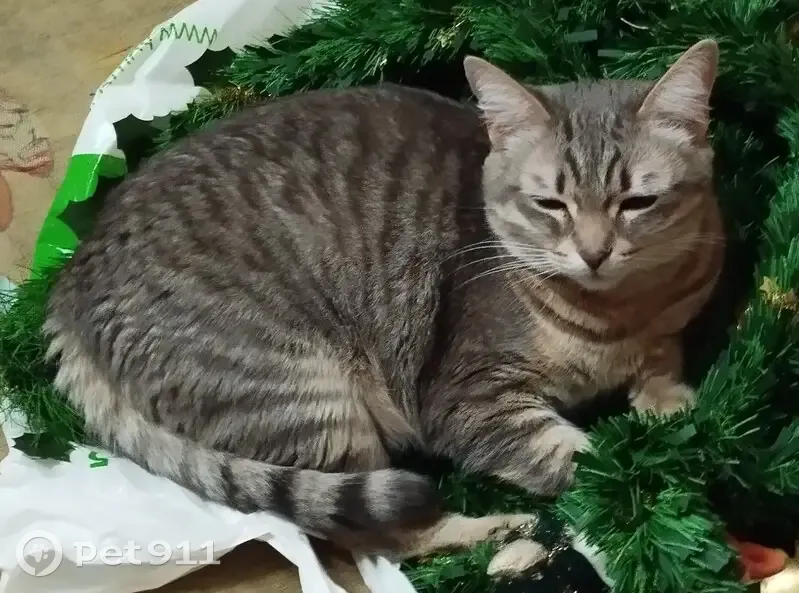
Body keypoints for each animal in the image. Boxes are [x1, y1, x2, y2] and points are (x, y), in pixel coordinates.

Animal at [44, 39, 724, 557]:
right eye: (549, 204)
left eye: (638, 202)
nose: (594, 253)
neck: (619, 314)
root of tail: (69, 289)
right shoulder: (470, 400)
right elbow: (579, 459)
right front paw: (661, 470)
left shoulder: (670, 323)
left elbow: (663, 362)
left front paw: (669, 404)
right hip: (310, 401)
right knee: (372, 532)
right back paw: (497, 531)